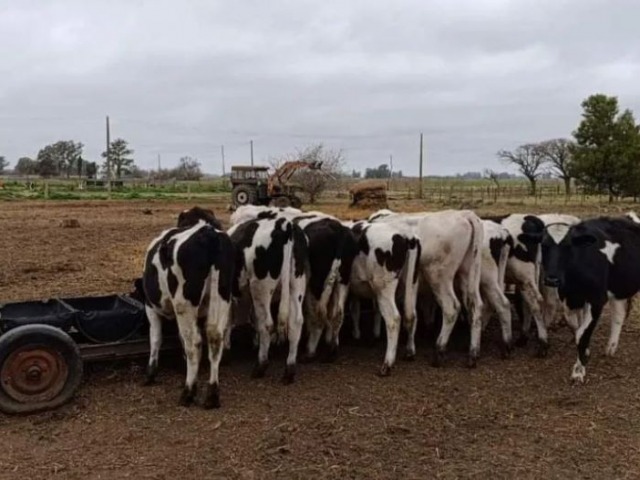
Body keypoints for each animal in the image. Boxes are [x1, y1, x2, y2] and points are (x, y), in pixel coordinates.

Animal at [141, 206, 234, 408]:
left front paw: (151, 373)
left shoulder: (150, 306)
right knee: (214, 338)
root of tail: (208, 234)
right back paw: (212, 395)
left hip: (184, 305)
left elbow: (155, 337)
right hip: (221, 296)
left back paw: (188, 392)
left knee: (194, 342)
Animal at [344, 219, 420, 376]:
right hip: (412, 283)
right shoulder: (354, 289)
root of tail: (406, 235)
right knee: (412, 314)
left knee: (394, 319)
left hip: (384, 288)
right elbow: (355, 310)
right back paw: (410, 352)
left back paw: (387, 364)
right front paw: (356, 334)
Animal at [544, 216, 640, 384]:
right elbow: (577, 329)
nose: (552, 279)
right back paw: (611, 348)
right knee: (619, 314)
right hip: (618, 288)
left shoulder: (597, 299)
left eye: (568, 246)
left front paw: (578, 371)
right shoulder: (569, 299)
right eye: (544, 246)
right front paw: (586, 354)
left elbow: (582, 335)